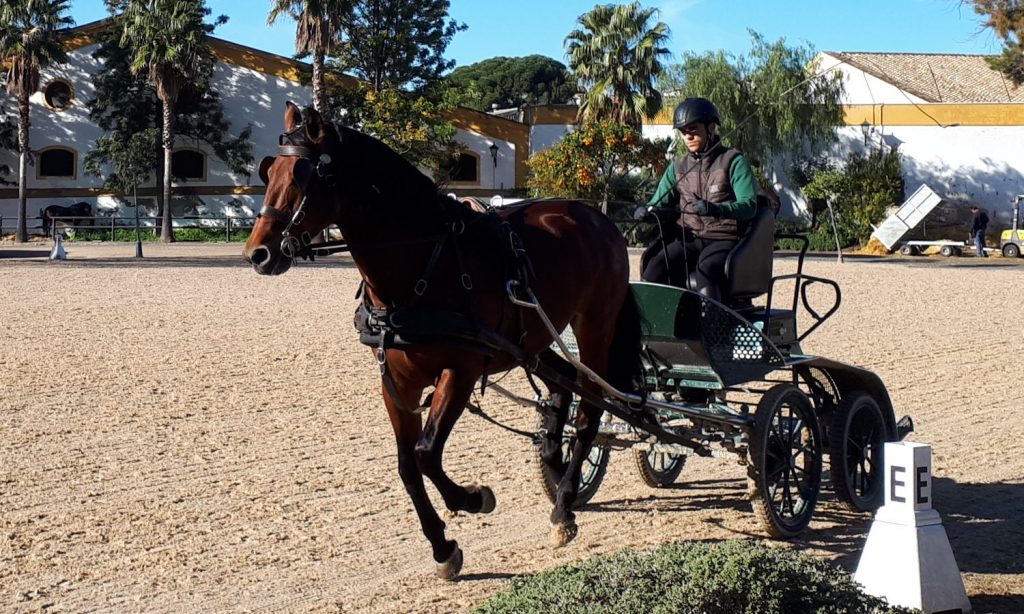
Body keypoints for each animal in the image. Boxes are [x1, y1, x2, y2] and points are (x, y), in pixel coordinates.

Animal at [241, 101, 638, 581]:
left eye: (302, 175)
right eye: (268, 171)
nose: (258, 253)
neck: (423, 263)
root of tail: (598, 218)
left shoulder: (460, 372)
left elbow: (427, 454)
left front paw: (472, 498)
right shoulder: (397, 382)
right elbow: (407, 466)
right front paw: (441, 546)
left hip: (595, 324)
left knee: (590, 410)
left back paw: (563, 506)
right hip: (535, 339)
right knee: (562, 389)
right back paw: (556, 468)